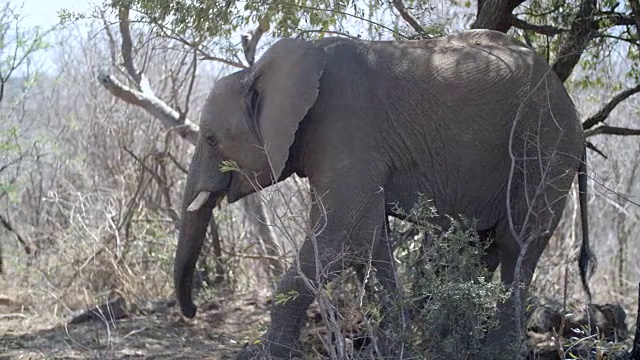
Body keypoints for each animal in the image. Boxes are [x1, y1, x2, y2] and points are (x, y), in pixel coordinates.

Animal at [174, 29, 596, 358]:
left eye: (210, 139)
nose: (192, 313)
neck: (260, 73)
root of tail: (572, 110)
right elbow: (371, 241)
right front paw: (395, 348)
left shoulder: (345, 129)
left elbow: (341, 238)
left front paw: (258, 354)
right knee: (483, 247)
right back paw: (446, 341)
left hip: (544, 146)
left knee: (516, 244)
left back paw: (491, 352)